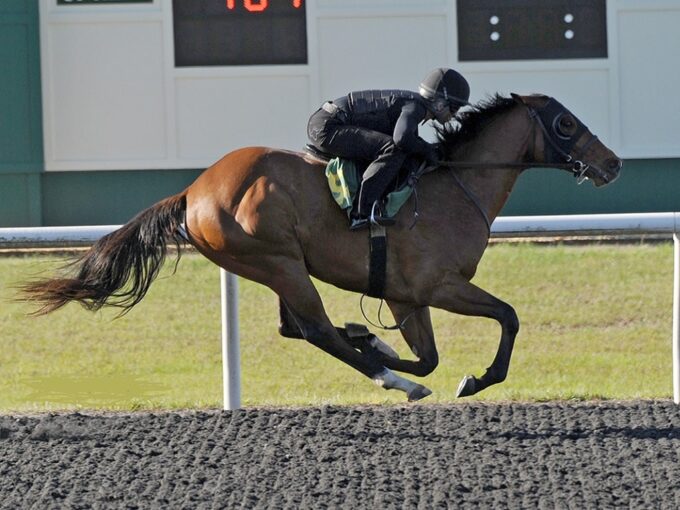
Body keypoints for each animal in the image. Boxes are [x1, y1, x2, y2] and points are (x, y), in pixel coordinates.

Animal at [22, 93, 620, 400]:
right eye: (566, 122)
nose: (613, 163)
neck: (455, 185)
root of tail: (194, 190)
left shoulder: (406, 296)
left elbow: (430, 356)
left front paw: (383, 345)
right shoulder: (438, 285)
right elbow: (508, 317)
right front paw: (474, 379)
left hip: (278, 266)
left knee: (301, 328)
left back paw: (374, 353)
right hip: (277, 260)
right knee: (316, 331)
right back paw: (390, 378)